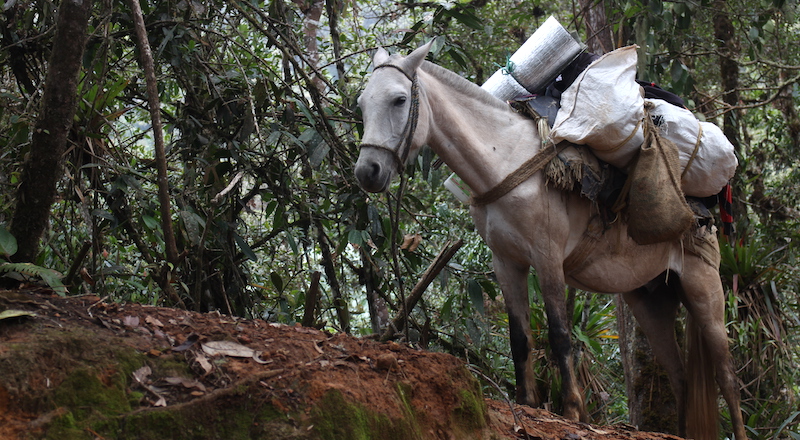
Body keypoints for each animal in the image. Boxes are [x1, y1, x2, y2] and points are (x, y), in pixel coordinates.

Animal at [353, 41, 748, 440]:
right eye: (362, 103)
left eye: (400, 99)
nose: (367, 172)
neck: (505, 160)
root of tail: (703, 212)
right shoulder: (506, 263)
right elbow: (519, 337)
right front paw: (526, 401)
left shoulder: (547, 258)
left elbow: (559, 333)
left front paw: (573, 410)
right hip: (650, 299)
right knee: (681, 378)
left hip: (703, 285)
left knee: (727, 377)